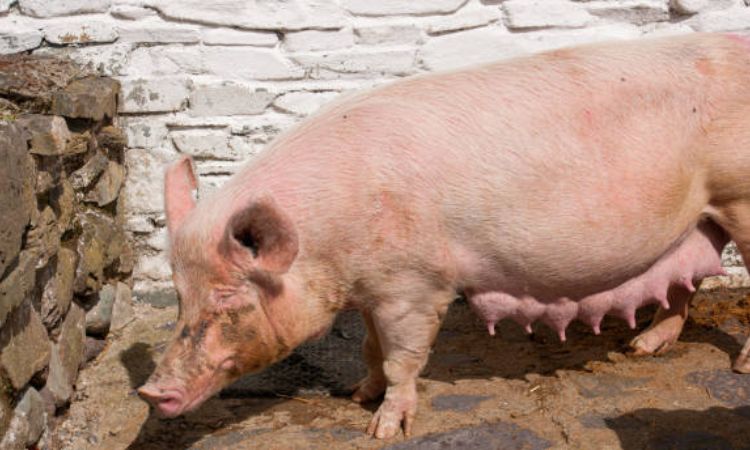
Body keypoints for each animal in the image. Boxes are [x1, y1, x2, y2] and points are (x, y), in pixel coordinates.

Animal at [137, 32, 750, 439]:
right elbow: (369, 348)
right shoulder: (373, 288)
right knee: (687, 278)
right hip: (700, 214)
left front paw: (382, 430)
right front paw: (357, 394)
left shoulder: (415, 285)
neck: (329, 245)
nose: (149, 391)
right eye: (180, 296)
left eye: (228, 298)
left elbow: (403, 357)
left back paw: (739, 367)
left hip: (740, 197)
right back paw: (641, 348)